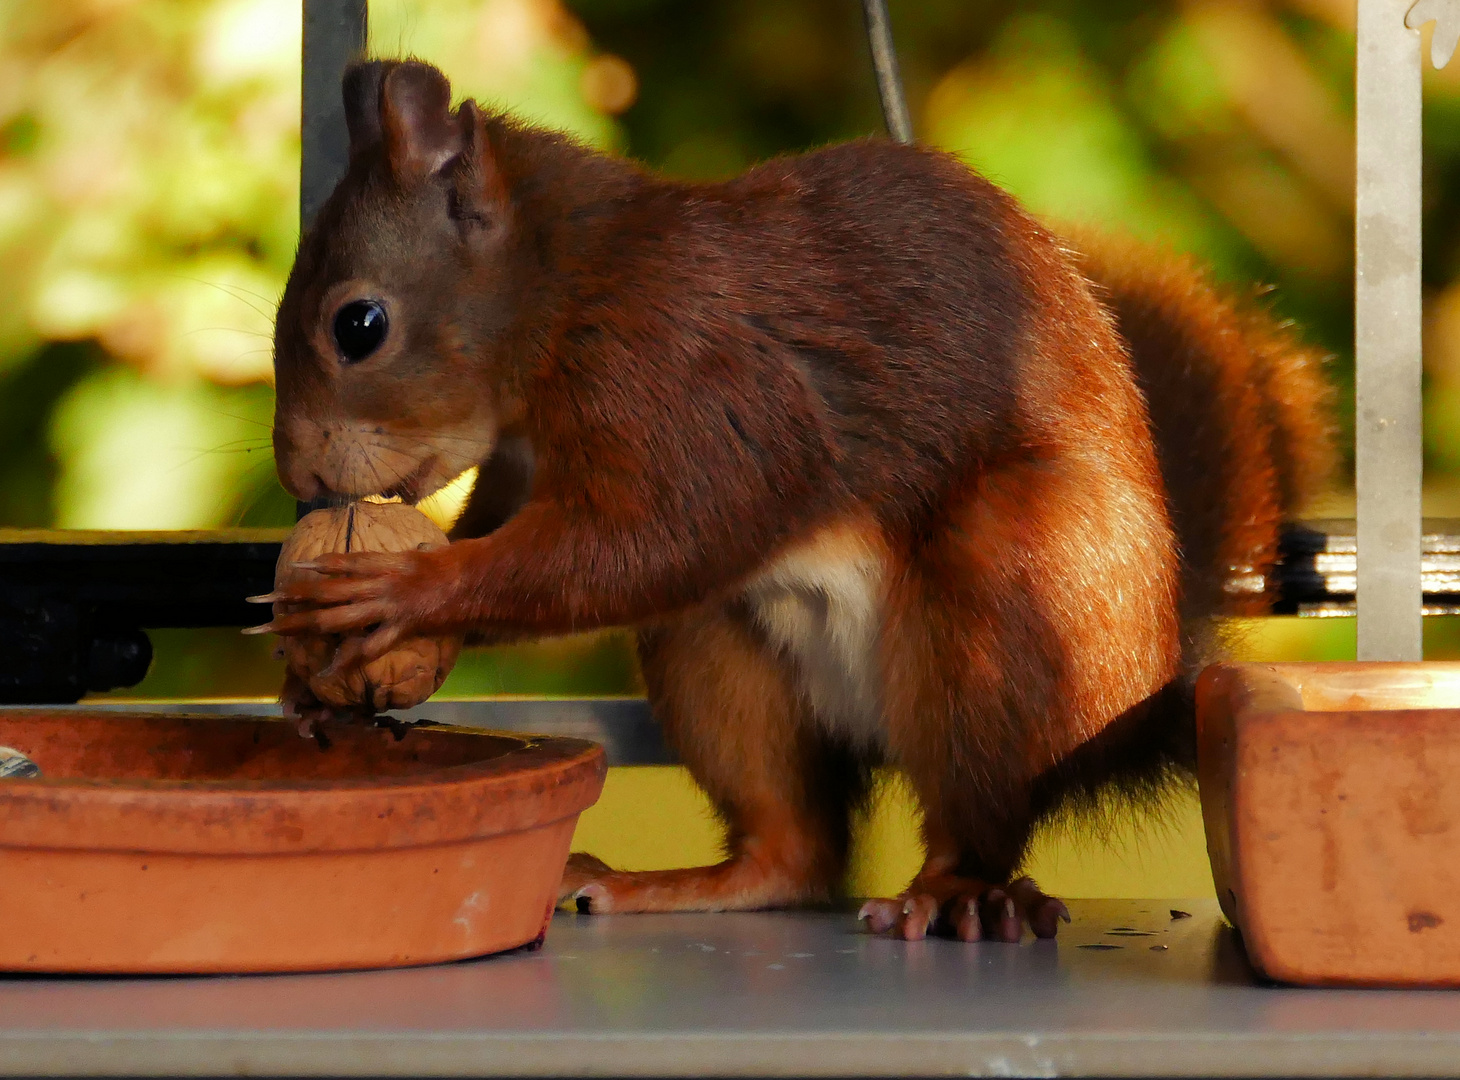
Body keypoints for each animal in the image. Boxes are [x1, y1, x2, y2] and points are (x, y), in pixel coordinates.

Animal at [256, 59, 1331, 939]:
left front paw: (405, 590)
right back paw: (690, 883)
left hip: (1013, 599)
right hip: (720, 652)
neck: (569, 287)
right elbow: (551, 540)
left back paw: (959, 895)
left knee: (981, 809)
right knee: (797, 848)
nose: (299, 476)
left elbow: (666, 530)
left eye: (359, 325)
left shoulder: (695, 373)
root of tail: (1145, 695)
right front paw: (313, 680)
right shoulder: (525, 464)